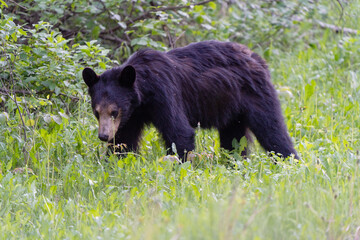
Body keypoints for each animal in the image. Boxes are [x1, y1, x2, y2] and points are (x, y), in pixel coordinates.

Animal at [83, 40, 300, 160]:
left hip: (255, 93)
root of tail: (257, 58)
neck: (143, 90)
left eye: (114, 111)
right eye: (96, 112)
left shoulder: (165, 94)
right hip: (232, 109)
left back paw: (290, 161)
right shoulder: (133, 113)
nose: (103, 136)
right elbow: (124, 140)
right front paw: (113, 162)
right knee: (233, 139)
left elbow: (179, 132)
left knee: (272, 130)